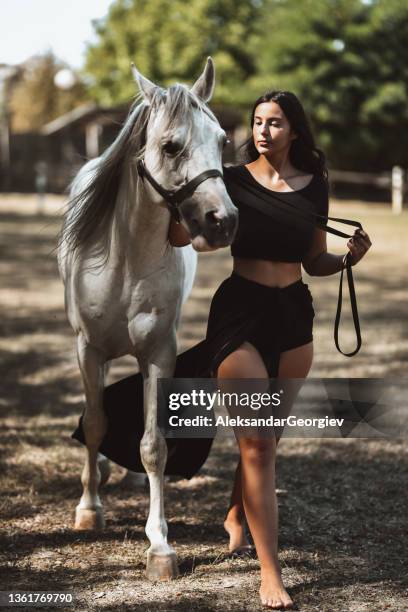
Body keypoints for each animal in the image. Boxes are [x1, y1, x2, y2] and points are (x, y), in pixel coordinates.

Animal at [57, 57, 236, 580]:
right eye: (171, 145)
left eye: (223, 141)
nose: (223, 221)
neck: (125, 260)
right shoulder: (87, 348)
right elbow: (95, 423)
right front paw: (89, 508)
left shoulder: (159, 351)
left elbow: (154, 443)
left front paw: (159, 545)